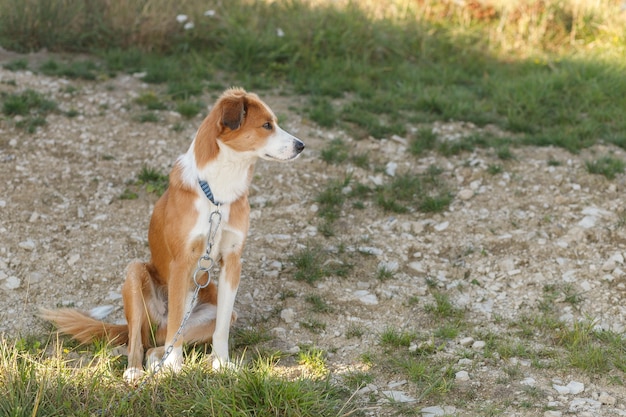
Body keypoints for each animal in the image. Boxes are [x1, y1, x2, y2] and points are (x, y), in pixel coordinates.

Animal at [40, 88, 304, 384]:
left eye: (274, 123)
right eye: (266, 125)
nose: (301, 145)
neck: (218, 196)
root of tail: (157, 323)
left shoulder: (232, 261)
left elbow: (222, 328)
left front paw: (221, 364)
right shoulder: (182, 262)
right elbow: (178, 317)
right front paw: (175, 366)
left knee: (157, 345)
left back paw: (158, 362)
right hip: (135, 274)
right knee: (142, 340)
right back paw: (136, 369)